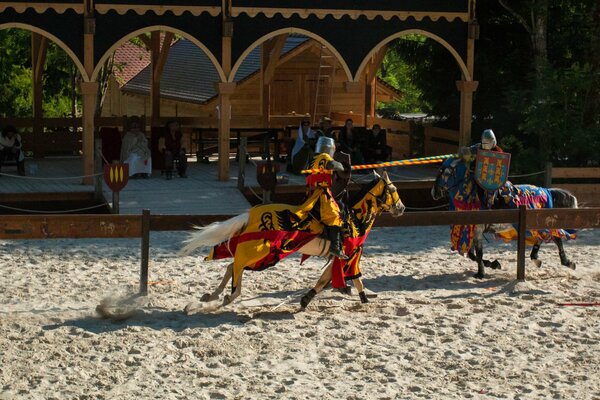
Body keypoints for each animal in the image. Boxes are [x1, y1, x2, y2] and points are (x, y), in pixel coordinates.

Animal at [180, 170, 406, 308]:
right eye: (394, 189)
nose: (402, 208)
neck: (355, 219)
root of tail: (252, 214)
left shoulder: (340, 257)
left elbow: (326, 279)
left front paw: (307, 299)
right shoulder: (350, 254)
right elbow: (353, 278)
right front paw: (365, 298)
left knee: (231, 266)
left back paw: (214, 295)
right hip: (261, 252)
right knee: (236, 266)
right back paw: (230, 296)